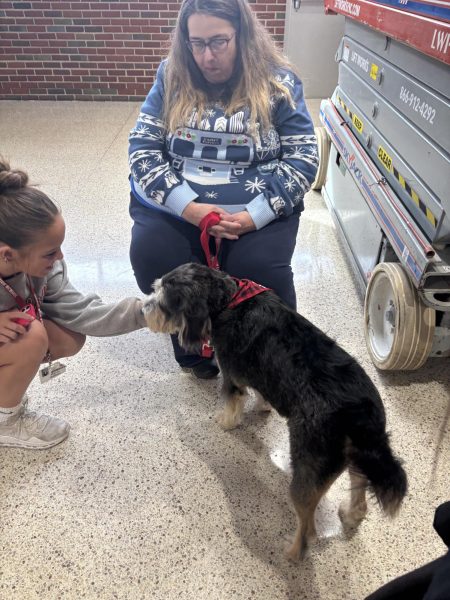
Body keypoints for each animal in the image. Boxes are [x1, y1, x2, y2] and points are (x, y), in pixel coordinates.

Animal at [144, 264, 408, 560]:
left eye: (164, 299)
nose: (143, 308)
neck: (229, 301)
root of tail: (359, 411)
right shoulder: (261, 373)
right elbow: (262, 394)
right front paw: (263, 407)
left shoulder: (232, 377)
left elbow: (232, 405)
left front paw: (225, 421)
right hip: (355, 457)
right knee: (360, 491)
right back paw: (350, 515)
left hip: (306, 471)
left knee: (307, 530)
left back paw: (292, 553)